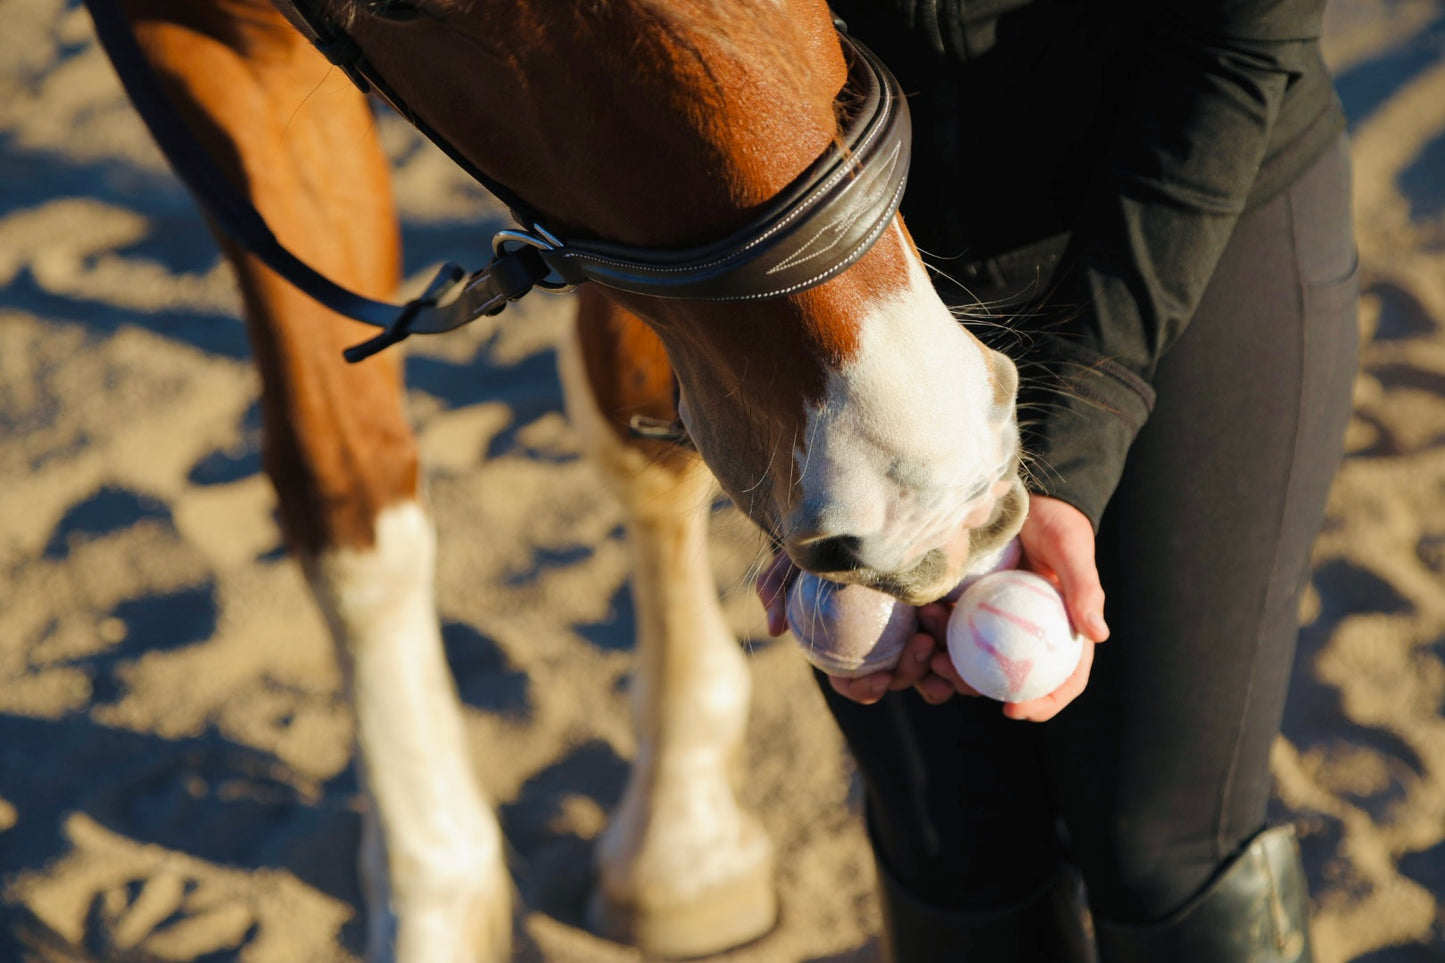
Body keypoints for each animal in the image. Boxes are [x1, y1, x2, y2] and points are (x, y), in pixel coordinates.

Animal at [104, 0, 1028, 954]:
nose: (926, 489)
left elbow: (636, 423)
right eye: (402, 8)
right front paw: (433, 891)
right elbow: (344, 488)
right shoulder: (204, 45)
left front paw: (680, 844)